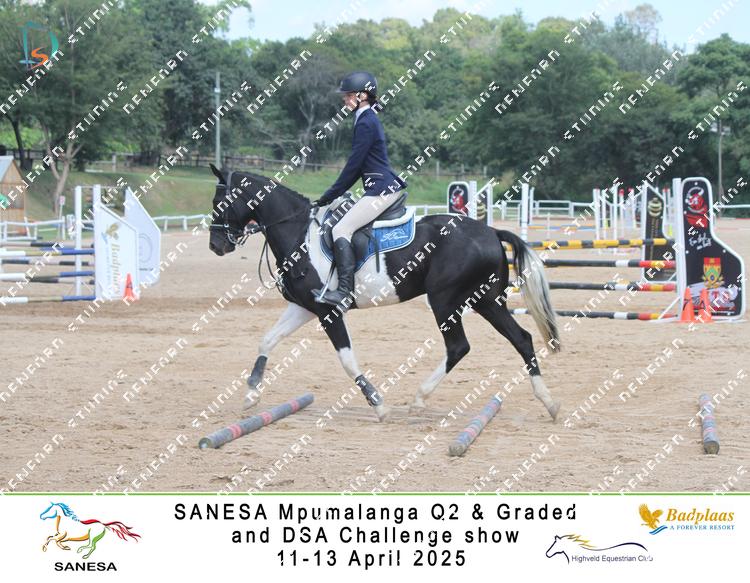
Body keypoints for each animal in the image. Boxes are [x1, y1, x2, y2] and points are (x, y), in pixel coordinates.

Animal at [207, 164, 561, 422]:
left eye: (219, 202)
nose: (216, 245)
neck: (298, 234)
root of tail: (491, 231)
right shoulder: (306, 307)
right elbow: (267, 340)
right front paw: (251, 394)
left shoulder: (328, 311)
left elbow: (347, 360)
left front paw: (377, 403)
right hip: (485, 300)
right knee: (521, 339)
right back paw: (548, 402)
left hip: (445, 300)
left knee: (459, 346)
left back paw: (419, 399)